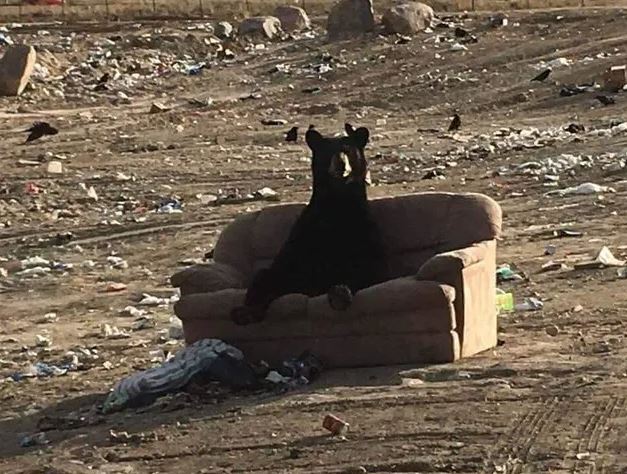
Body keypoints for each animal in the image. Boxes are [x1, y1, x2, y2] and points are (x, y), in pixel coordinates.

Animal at [233, 123, 386, 326]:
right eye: (326, 151)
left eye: (348, 150)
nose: (340, 164)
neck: (338, 202)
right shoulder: (304, 235)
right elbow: (279, 271)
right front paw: (248, 309)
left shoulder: (364, 231)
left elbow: (366, 269)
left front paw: (340, 292)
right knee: (265, 275)